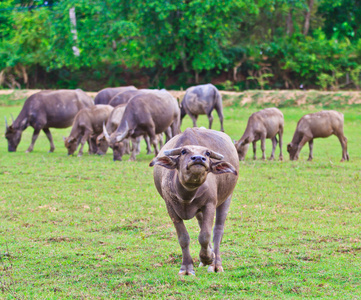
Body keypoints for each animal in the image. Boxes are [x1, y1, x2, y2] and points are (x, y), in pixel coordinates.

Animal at [150, 127, 239, 276]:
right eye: (183, 151)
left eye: (207, 153)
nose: (198, 158)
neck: (187, 194)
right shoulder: (170, 208)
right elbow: (183, 238)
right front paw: (186, 267)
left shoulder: (209, 204)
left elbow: (205, 235)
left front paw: (208, 258)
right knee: (201, 223)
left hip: (227, 198)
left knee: (218, 230)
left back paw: (215, 263)